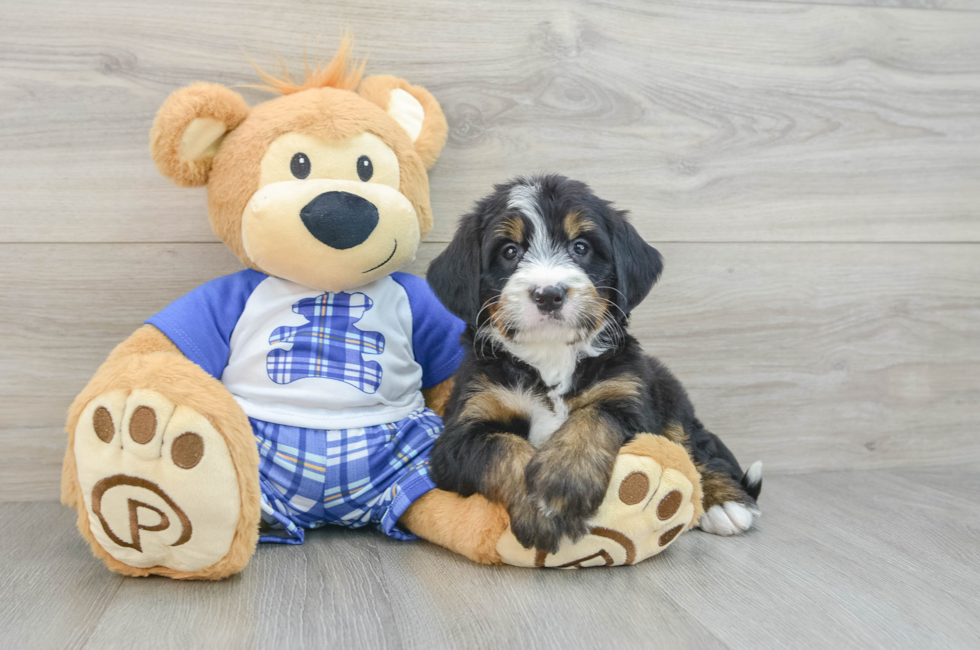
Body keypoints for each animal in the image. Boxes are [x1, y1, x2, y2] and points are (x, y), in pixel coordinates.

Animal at [426, 176, 756, 552]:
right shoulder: (460, 433)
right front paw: (538, 508)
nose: (549, 294)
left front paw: (563, 481)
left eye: (580, 247)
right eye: (509, 251)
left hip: (666, 392)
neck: (551, 356)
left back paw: (724, 503)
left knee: (694, 443)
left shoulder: (627, 398)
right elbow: (502, 449)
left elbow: (594, 417)